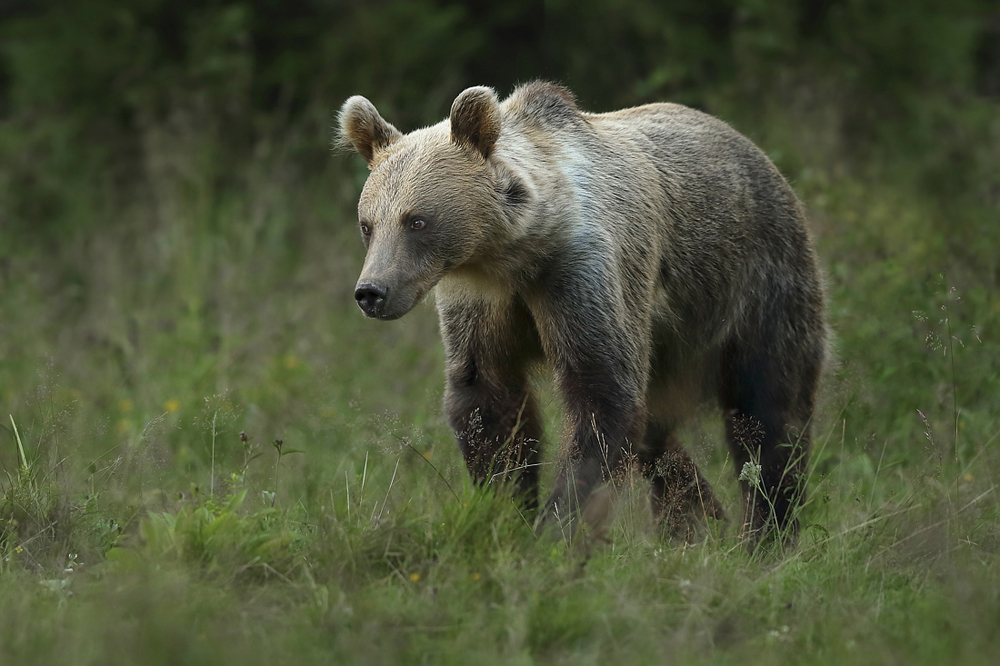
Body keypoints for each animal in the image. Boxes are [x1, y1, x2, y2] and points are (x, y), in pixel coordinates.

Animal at [340, 80, 824, 544]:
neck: (515, 254)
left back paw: (766, 533)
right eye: (368, 224)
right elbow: (487, 400)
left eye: (417, 220)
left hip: (757, 283)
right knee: (656, 431)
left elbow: (601, 396)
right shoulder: (480, 301)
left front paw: (556, 529)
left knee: (768, 411)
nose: (372, 292)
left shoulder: (583, 274)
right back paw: (697, 520)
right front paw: (505, 509)